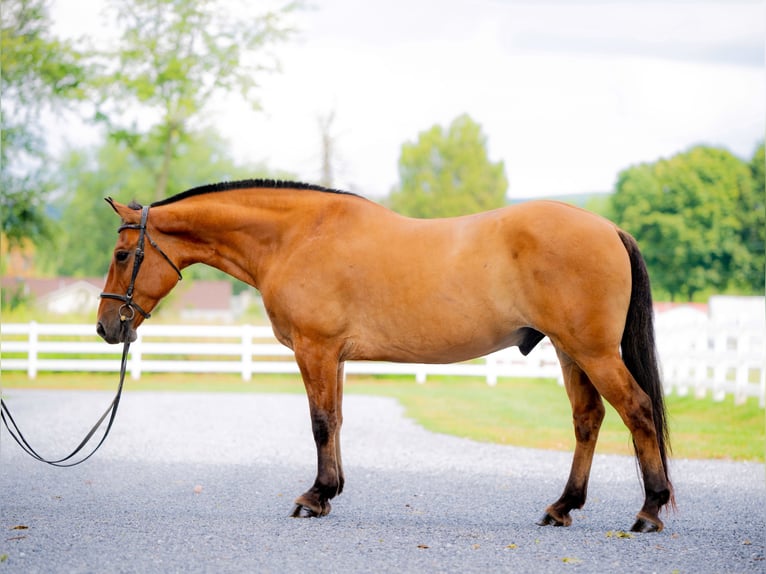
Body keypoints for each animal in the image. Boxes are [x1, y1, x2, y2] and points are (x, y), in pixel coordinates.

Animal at [97, 180, 680, 536]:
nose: (106, 327)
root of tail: (608, 228)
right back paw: (562, 507)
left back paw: (649, 510)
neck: (297, 236)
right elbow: (335, 421)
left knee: (636, 410)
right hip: (569, 351)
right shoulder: (334, 356)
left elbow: (320, 421)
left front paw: (314, 497)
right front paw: (330, 491)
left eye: (123, 254)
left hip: (591, 351)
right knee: (588, 419)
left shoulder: (315, 348)